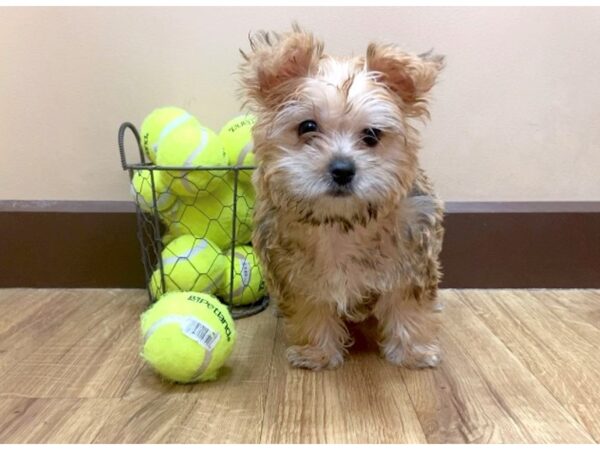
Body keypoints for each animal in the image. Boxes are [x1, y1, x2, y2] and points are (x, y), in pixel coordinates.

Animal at [237, 22, 442, 370]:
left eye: (371, 135)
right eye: (307, 126)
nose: (343, 169)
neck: (340, 221)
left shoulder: (410, 263)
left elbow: (407, 308)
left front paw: (413, 352)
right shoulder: (297, 274)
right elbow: (311, 307)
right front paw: (317, 352)